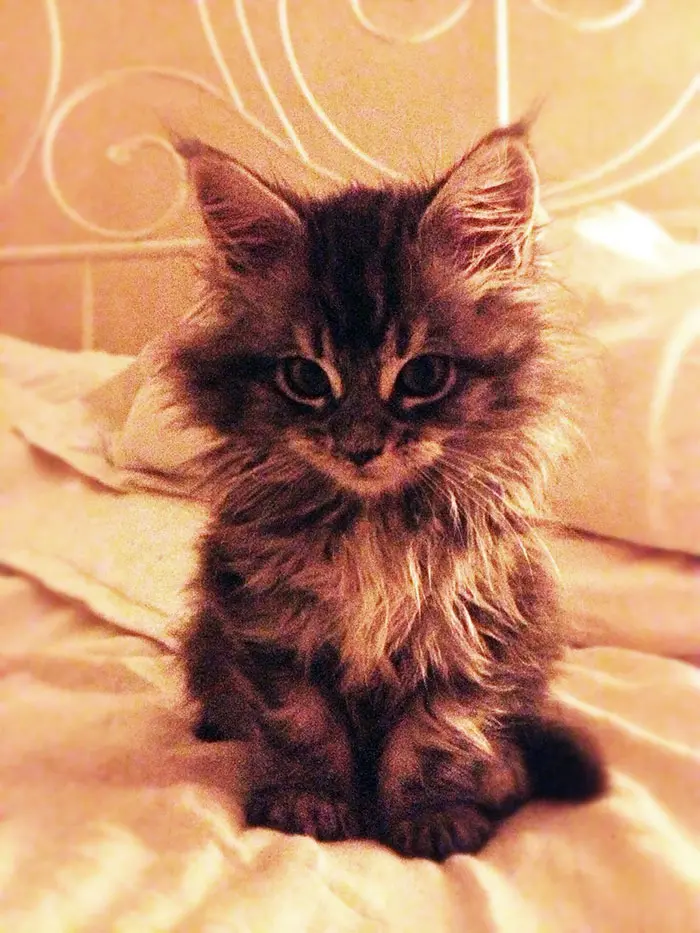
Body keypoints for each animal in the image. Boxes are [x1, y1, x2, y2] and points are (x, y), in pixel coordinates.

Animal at [167, 124, 604, 860]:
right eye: (305, 378)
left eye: (422, 375)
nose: (360, 446)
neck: (374, 522)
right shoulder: (269, 621)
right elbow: (302, 725)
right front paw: (308, 802)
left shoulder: (475, 623)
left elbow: (436, 735)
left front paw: (429, 816)